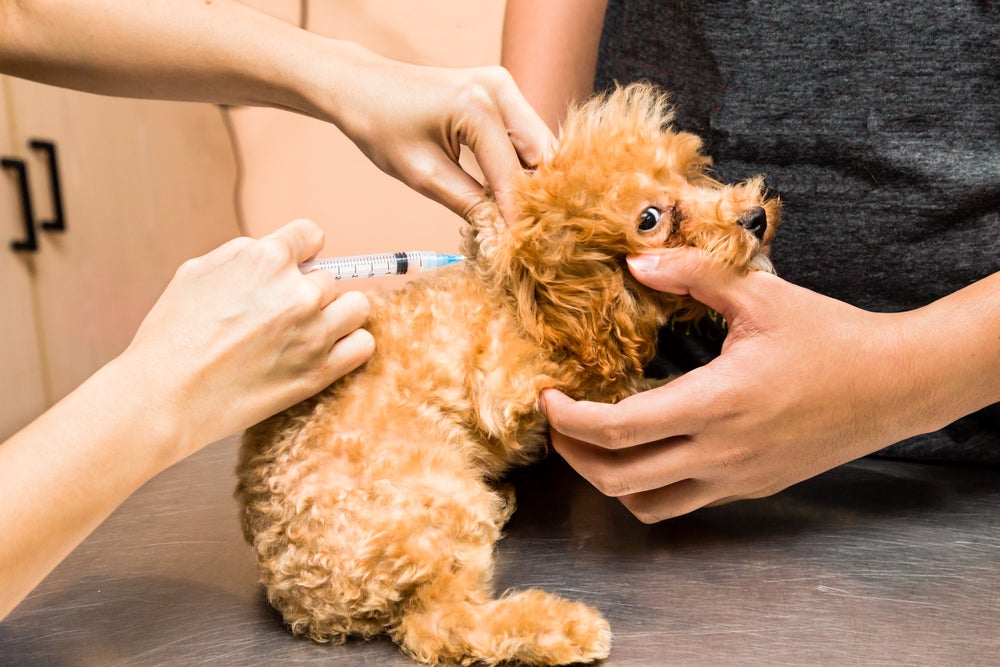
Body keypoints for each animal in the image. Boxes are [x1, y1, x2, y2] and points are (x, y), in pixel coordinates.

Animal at [236, 85, 780, 667]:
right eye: (650, 219)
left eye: (689, 174)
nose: (754, 218)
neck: (524, 301)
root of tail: (307, 602)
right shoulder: (510, 381)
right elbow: (605, 384)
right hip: (441, 506)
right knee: (443, 627)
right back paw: (563, 627)